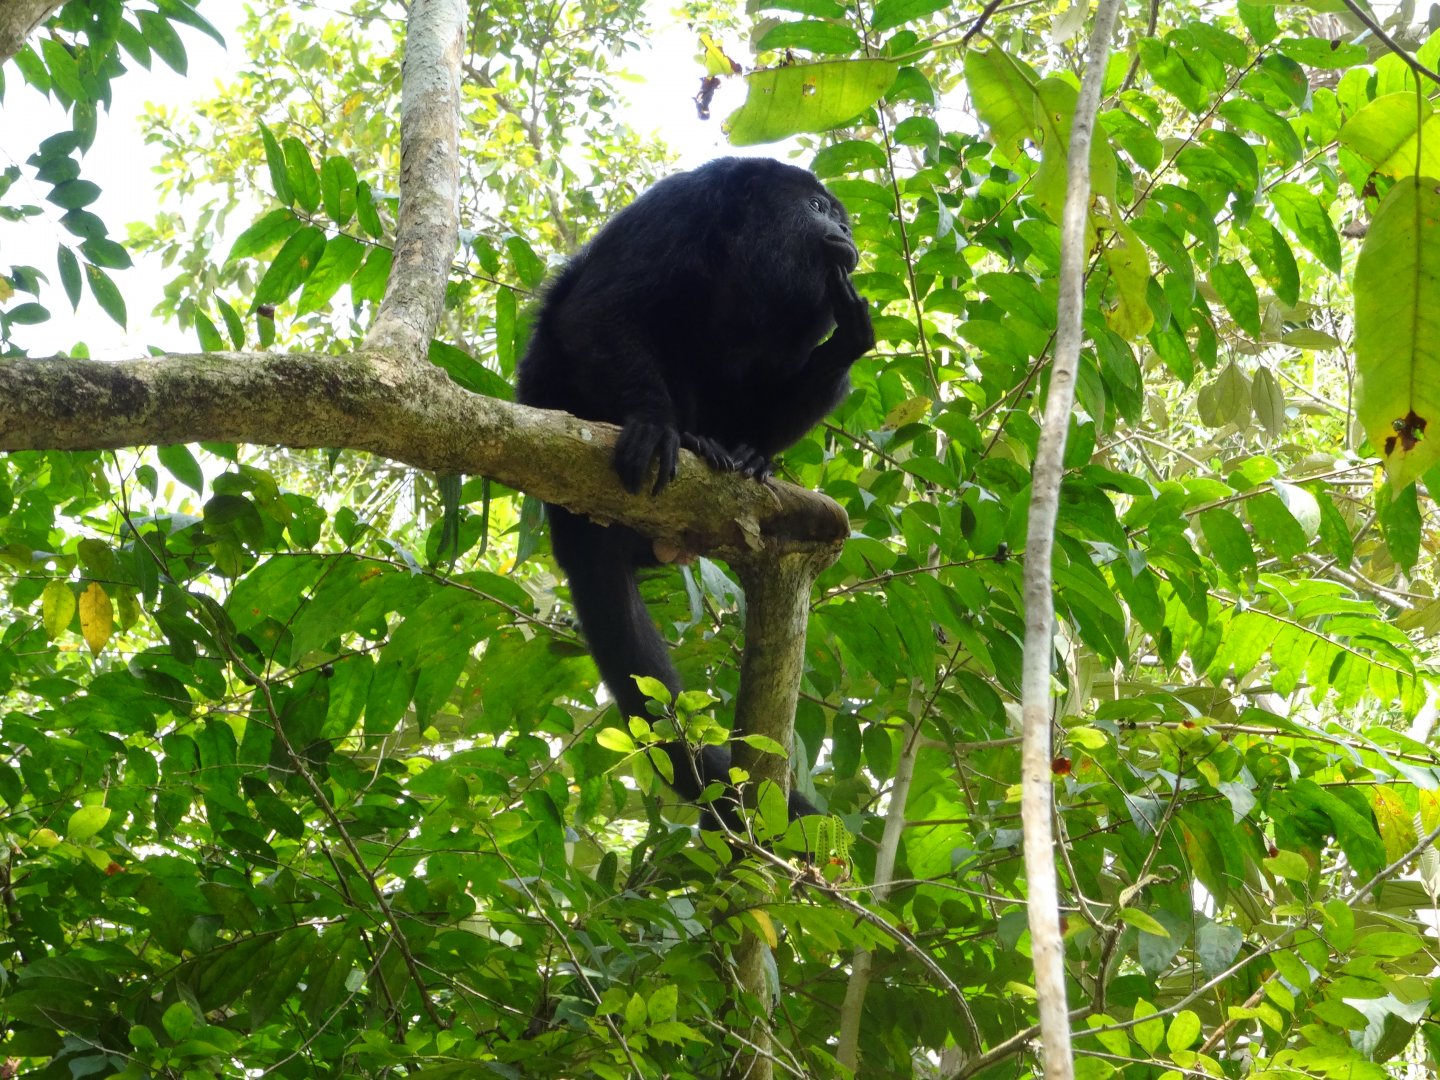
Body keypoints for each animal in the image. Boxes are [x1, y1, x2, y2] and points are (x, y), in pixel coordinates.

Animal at [515, 156, 874, 830]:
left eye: (839, 217)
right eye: (818, 208)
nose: (843, 231)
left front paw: (850, 337)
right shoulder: (683, 208)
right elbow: (600, 311)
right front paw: (657, 427)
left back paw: (738, 453)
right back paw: (689, 440)